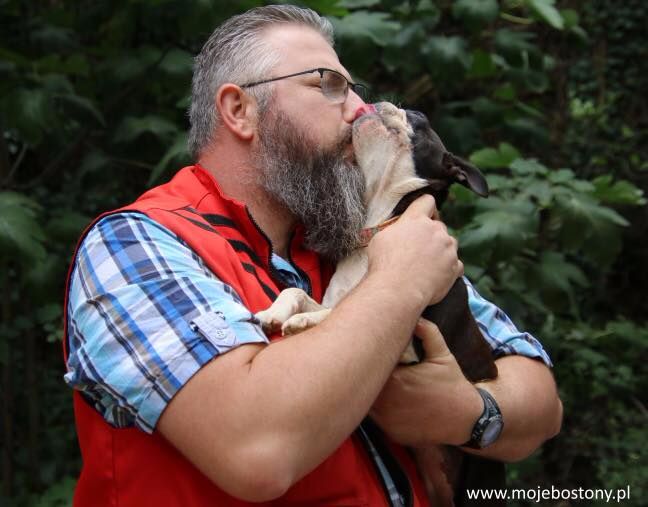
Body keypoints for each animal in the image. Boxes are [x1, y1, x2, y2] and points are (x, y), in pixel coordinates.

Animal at [258, 101, 502, 506]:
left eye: (419, 119)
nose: (383, 103)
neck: (379, 226)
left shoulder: (409, 345)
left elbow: (336, 313)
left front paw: (303, 323)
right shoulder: (334, 295)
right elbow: (302, 296)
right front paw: (274, 311)